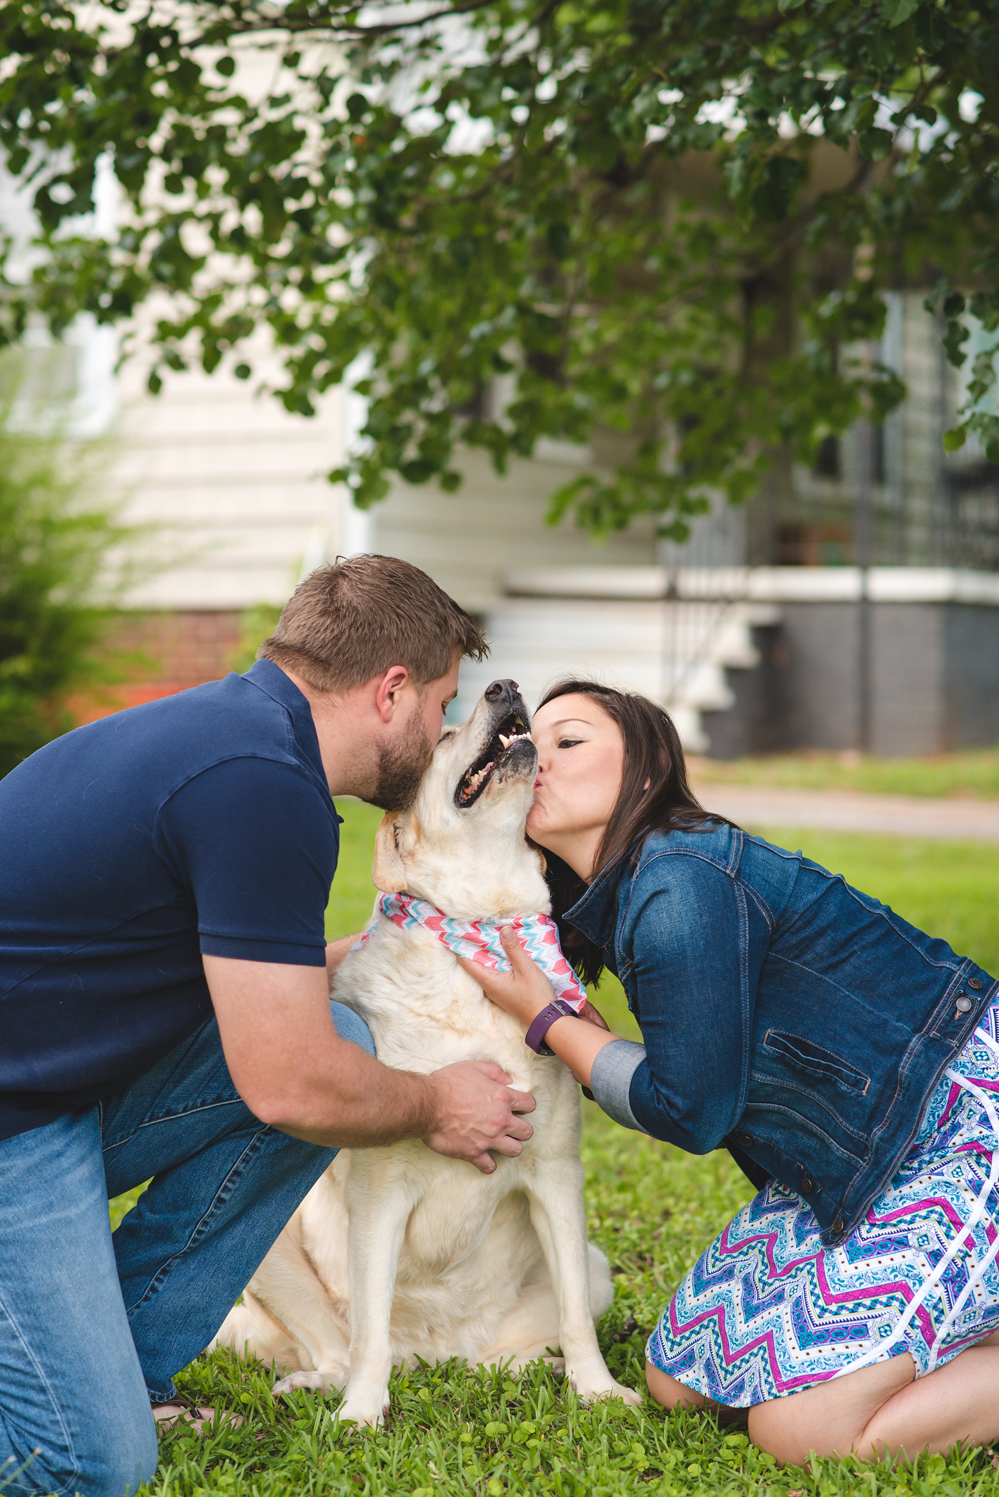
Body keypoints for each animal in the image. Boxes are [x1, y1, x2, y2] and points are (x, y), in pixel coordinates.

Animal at [217, 679, 641, 1425]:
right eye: (442, 734)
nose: (504, 686)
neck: (479, 926)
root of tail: (436, 1356)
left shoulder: (557, 1176)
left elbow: (575, 1323)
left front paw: (598, 1391)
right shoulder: (380, 1188)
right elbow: (368, 1328)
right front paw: (361, 1413)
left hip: (591, 1267)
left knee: (540, 1332)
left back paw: (534, 1369)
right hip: (270, 1246)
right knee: (339, 1345)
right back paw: (320, 1385)